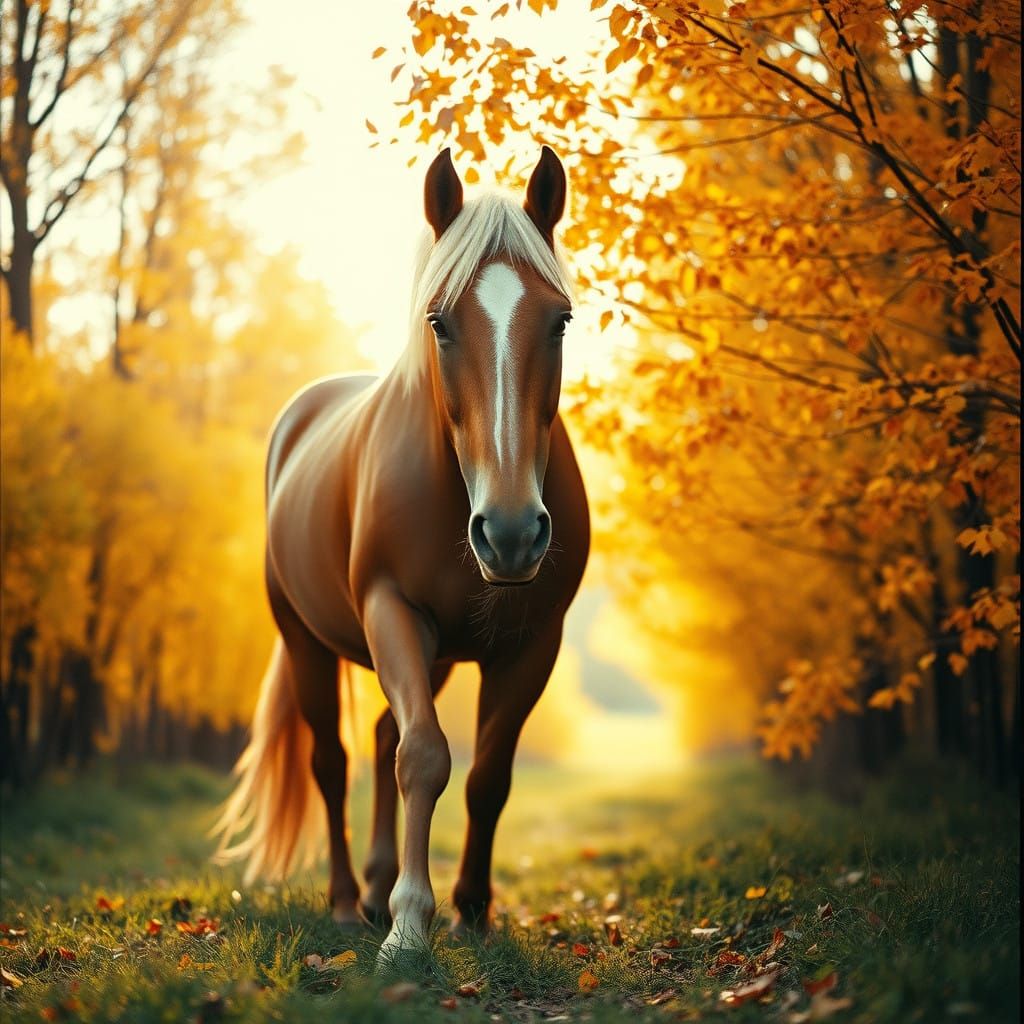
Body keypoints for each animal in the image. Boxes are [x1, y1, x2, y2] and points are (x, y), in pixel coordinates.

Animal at [213, 146, 590, 964]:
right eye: (440, 323)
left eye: (562, 321)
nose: (510, 533)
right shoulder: (393, 612)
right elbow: (423, 756)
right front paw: (410, 927)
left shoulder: (531, 644)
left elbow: (486, 776)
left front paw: (470, 911)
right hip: (307, 640)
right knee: (334, 760)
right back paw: (349, 903)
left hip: (438, 653)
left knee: (385, 734)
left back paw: (379, 889)